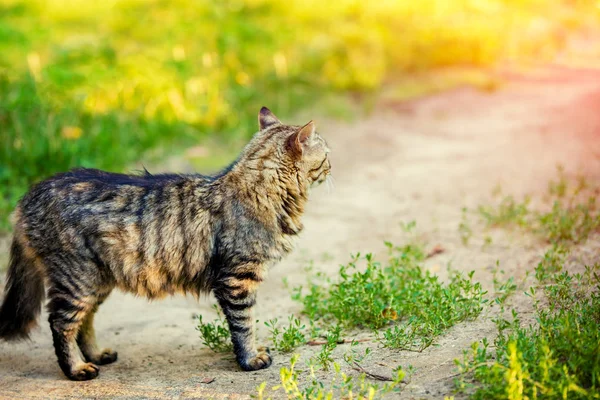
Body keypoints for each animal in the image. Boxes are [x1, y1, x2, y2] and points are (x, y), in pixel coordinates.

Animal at [0, 107, 332, 382]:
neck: (265, 193)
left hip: (97, 280)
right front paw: (250, 359)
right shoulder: (237, 279)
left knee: (85, 320)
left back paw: (96, 355)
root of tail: (33, 191)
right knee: (61, 323)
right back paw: (77, 369)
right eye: (326, 155)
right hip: (77, 279)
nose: (332, 165)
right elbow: (244, 324)